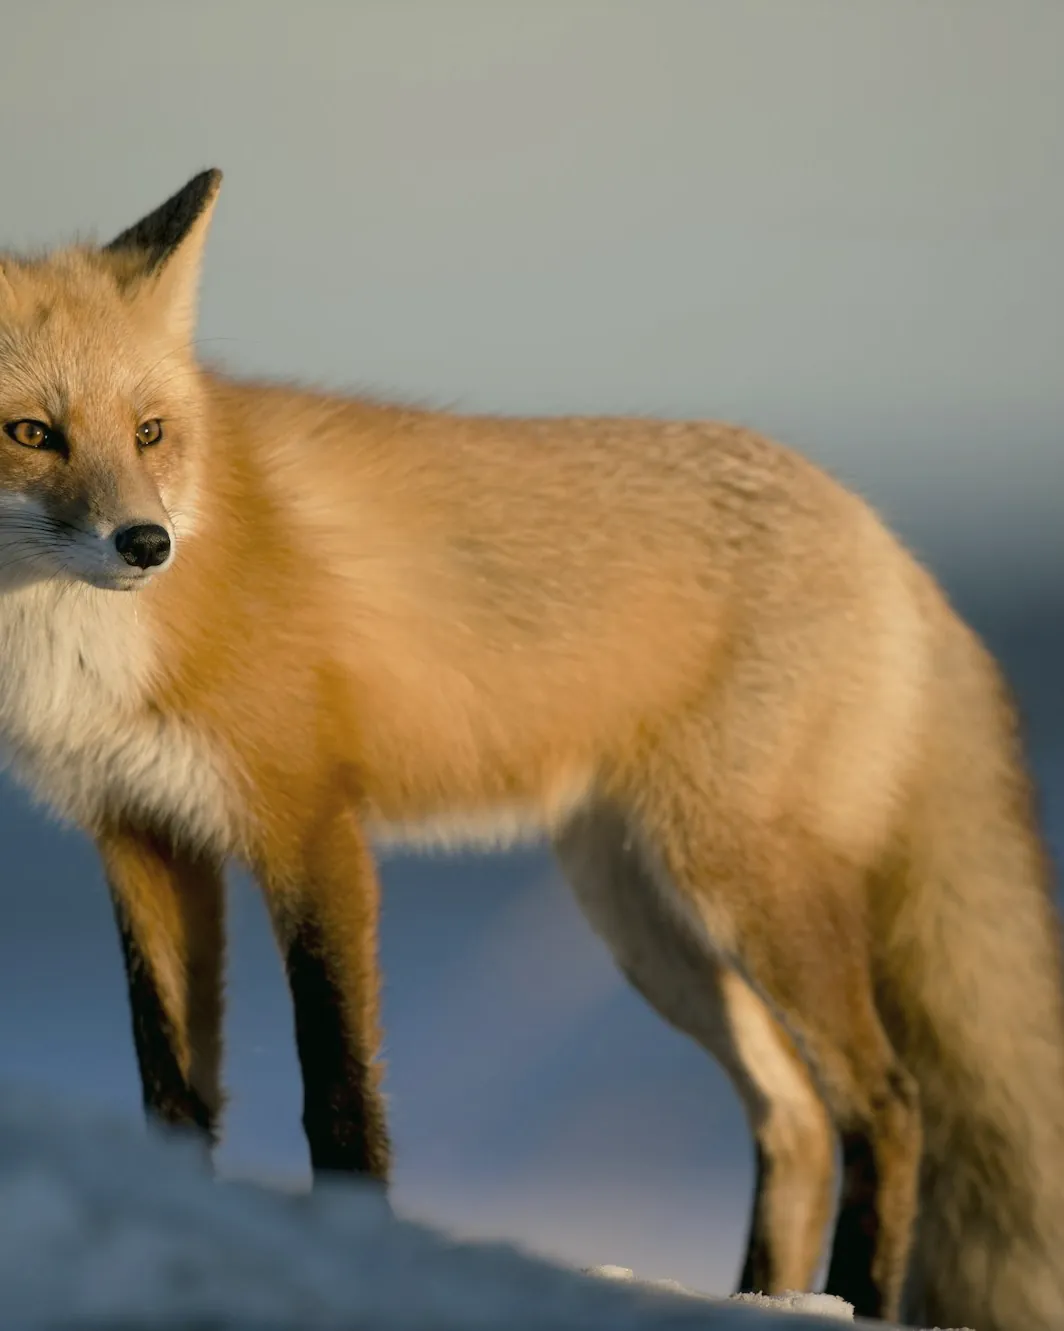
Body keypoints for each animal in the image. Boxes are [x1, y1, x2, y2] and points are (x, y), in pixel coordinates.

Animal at [0, 168, 1061, 1329]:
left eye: (149, 431)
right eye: (32, 432)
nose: (147, 543)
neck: (82, 644)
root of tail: (885, 538)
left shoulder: (309, 821)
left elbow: (337, 1083)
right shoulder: (143, 834)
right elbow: (171, 1087)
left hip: (743, 888)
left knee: (887, 1102)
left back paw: (855, 1297)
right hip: (647, 921)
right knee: (796, 1117)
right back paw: (759, 1294)